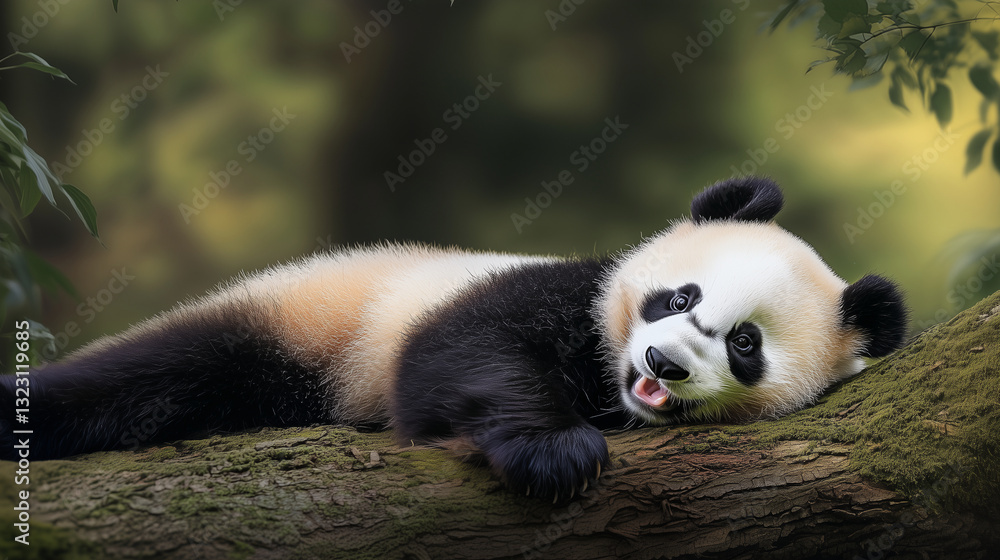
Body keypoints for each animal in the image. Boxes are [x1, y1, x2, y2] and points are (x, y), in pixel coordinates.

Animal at [0, 177, 907, 500]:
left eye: (745, 344)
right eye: (678, 297)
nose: (660, 362)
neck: (609, 387)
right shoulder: (556, 291)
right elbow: (462, 354)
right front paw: (554, 453)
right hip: (297, 319)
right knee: (141, 377)